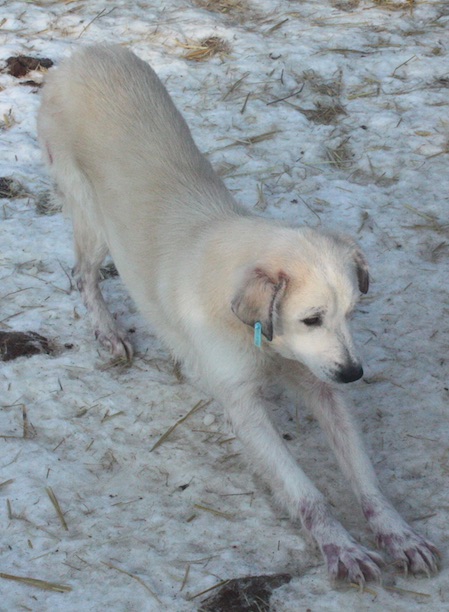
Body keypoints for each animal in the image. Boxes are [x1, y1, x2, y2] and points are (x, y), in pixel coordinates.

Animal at [37, 44, 438, 584]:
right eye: (311, 319)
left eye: (351, 313)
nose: (355, 374)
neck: (263, 340)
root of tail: (86, 52)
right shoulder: (244, 405)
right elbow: (304, 491)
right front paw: (340, 547)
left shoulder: (321, 385)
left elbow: (365, 475)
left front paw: (398, 534)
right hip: (91, 217)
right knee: (83, 275)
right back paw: (109, 332)